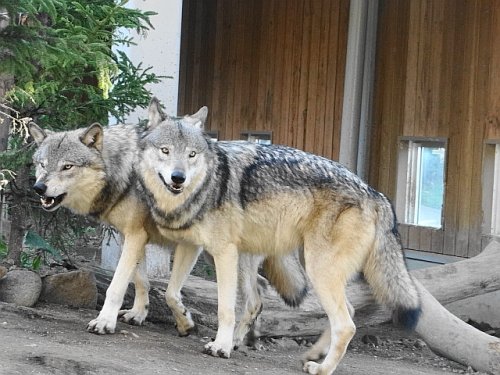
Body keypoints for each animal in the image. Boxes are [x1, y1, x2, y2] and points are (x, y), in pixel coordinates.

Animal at [137, 99, 422, 375]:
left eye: (191, 154)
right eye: (165, 151)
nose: (178, 178)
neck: (206, 184)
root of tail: (376, 193)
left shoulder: (223, 253)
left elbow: (225, 309)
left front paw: (220, 347)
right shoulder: (192, 246)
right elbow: (171, 294)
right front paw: (186, 324)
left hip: (314, 270)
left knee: (346, 324)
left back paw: (321, 368)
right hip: (282, 262)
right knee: (289, 305)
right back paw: (307, 354)